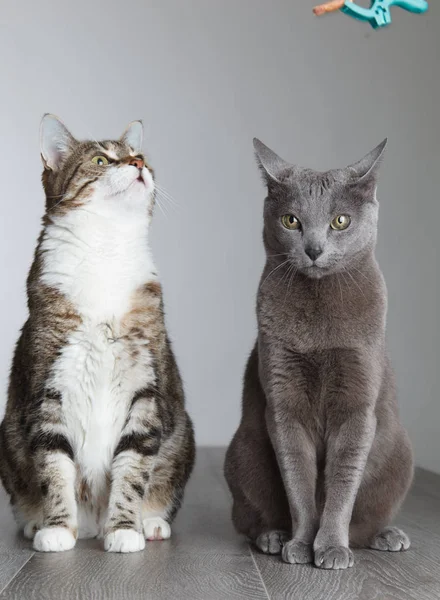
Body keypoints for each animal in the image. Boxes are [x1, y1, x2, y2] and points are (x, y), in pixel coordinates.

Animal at [225, 138, 414, 568]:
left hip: (400, 454)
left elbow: (342, 484)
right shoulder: (283, 403)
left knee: (365, 524)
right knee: (247, 517)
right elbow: (298, 480)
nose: (313, 248)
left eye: (340, 221)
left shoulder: (357, 407)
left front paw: (329, 547)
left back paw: (387, 536)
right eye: (291, 220)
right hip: (244, 451)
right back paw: (273, 536)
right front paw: (301, 543)